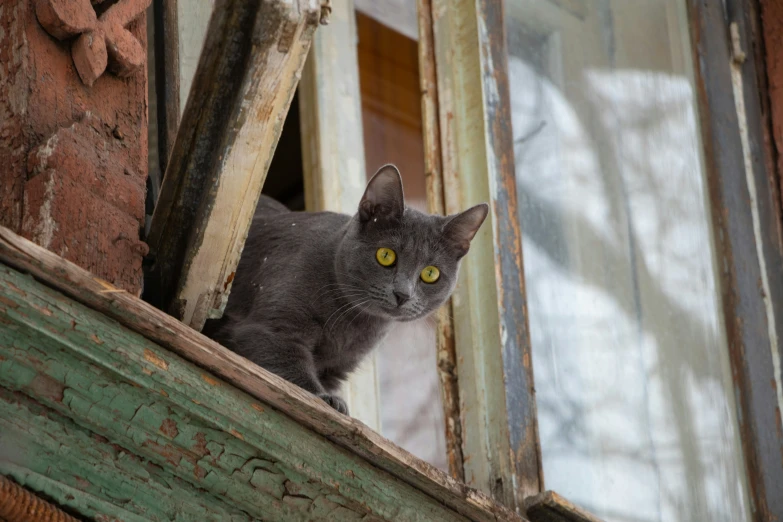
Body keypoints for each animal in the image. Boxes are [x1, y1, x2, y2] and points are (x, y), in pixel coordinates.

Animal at [204, 165, 484, 412]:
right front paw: (326, 399)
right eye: (385, 255)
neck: (352, 324)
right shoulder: (272, 330)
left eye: (430, 273)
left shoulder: (336, 368)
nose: (403, 294)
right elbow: (289, 368)